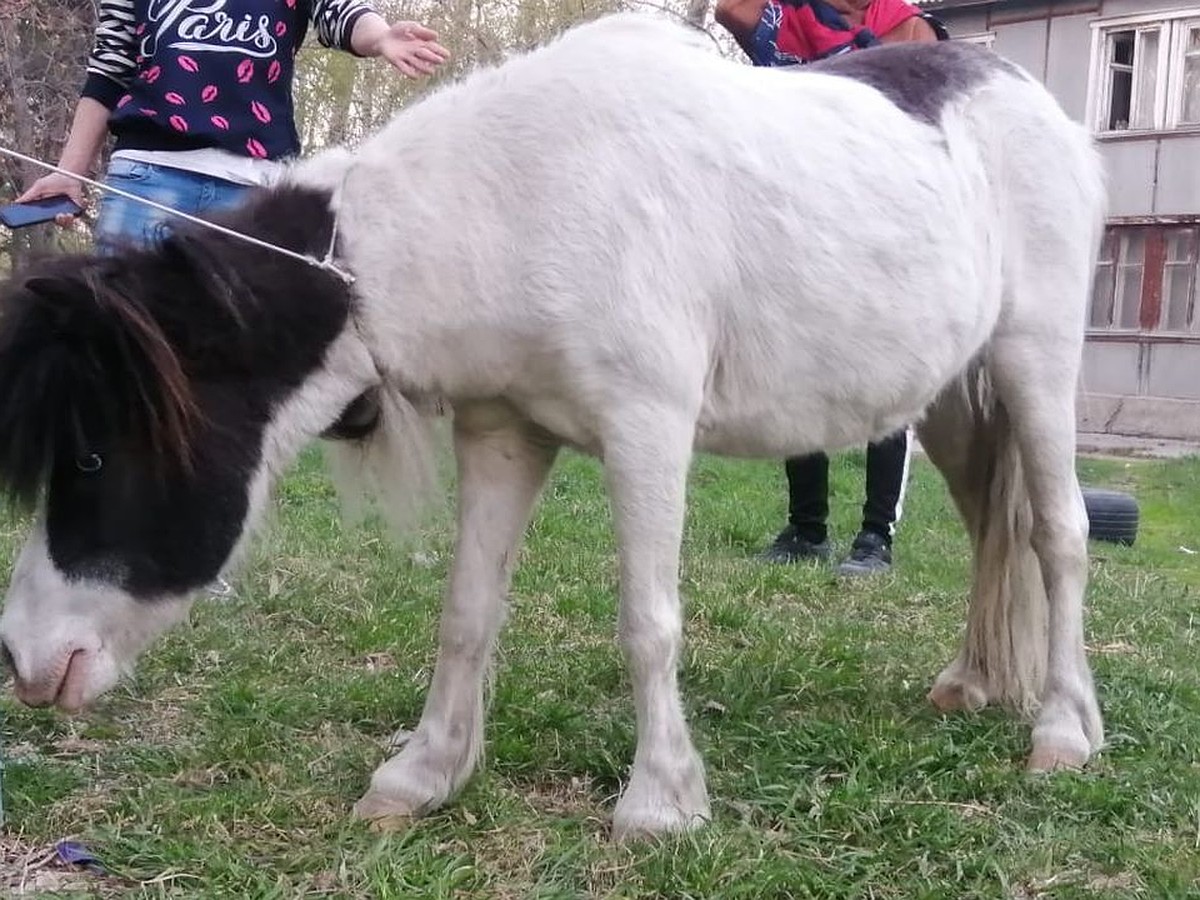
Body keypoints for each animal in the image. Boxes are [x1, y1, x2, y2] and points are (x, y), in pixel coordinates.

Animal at [0, 14, 1104, 844]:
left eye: (94, 453)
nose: (25, 661)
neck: (513, 201)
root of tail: (1018, 88)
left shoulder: (646, 429)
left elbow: (649, 621)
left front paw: (660, 803)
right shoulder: (501, 433)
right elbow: (466, 613)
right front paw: (422, 776)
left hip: (1036, 361)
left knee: (1057, 536)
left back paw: (1063, 731)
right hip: (956, 395)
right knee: (990, 531)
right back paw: (972, 683)